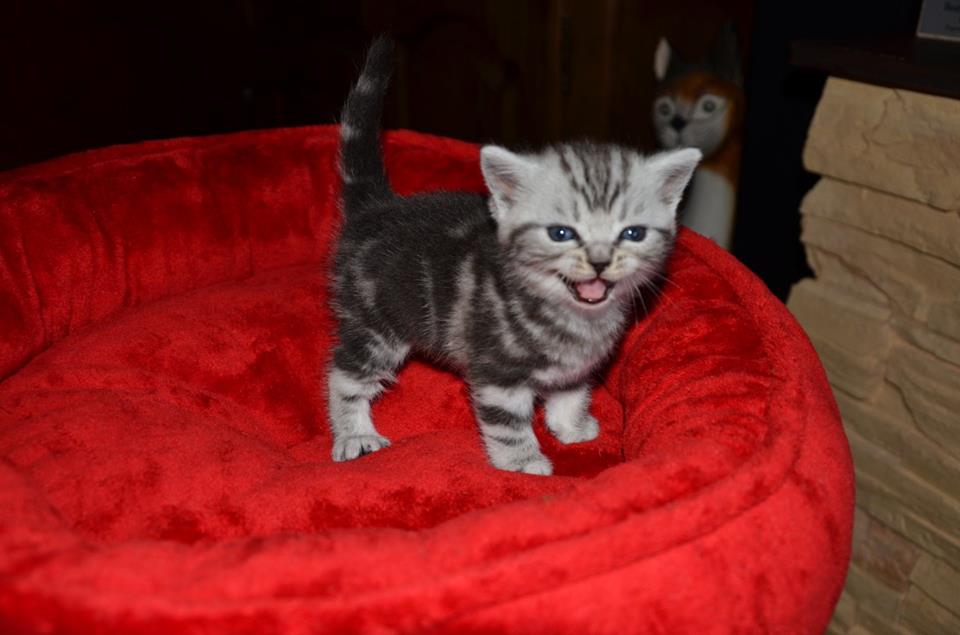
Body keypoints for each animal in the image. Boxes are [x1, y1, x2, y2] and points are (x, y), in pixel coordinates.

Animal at [328, 38, 701, 475]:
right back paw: (355, 434)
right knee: (345, 372)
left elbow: (570, 393)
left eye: (632, 234)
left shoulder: (575, 365)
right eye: (561, 233)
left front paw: (571, 426)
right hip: (375, 322)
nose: (599, 262)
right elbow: (507, 423)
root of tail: (376, 207)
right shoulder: (497, 372)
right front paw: (524, 463)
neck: (570, 318)